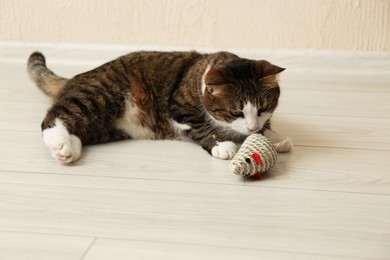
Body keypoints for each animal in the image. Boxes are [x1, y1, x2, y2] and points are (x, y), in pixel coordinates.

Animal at [27, 50, 290, 162]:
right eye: (236, 112)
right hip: (97, 95)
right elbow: (201, 127)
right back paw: (60, 143)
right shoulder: (179, 107)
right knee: (54, 116)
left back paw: (69, 148)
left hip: (105, 127)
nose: (252, 127)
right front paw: (222, 145)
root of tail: (73, 78)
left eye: (263, 108)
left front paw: (267, 135)